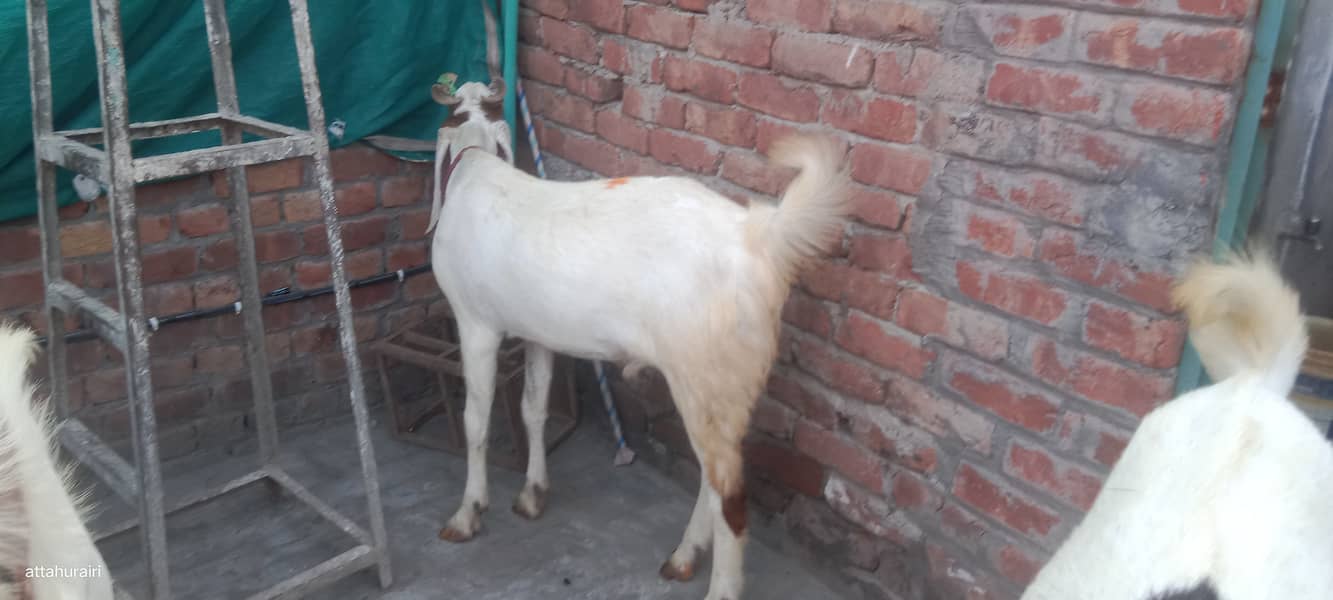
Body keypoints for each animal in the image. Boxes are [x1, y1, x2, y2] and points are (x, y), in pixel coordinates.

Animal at [426, 78, 849, 598]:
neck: (474, 167)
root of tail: (758, 235)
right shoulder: (537, 332)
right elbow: (533, 410)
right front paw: (532, 495)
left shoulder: (476, 322)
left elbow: (476, 421)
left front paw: (467, 513)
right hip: (728, 385)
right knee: (715, 477)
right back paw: (685, 556)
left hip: (702, 374)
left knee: (730, 497)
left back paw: (718, 586)